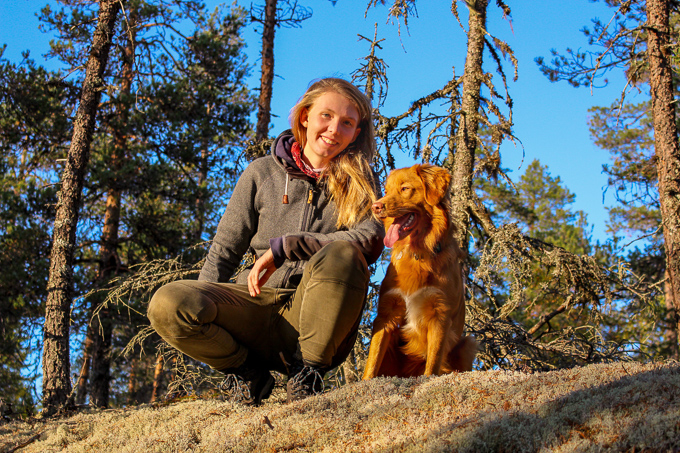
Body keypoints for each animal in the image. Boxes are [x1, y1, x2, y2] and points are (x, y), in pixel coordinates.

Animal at [362, 163, 478, 378]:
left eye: (405, 188)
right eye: (386, 191)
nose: (375, 206)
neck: (417, 252)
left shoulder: (440, 316)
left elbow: (432, 364)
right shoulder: (387, 313)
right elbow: (372, 361)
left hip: (467, 344)